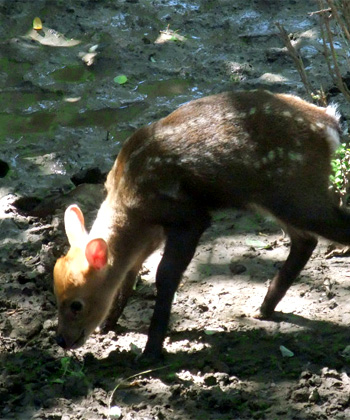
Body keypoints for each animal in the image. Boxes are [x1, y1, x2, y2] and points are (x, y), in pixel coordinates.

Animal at [53, 90, 346, 360]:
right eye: (56, 296)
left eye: (76, 304)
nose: (62, 340)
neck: (131, 204)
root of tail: (329, 124)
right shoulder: (152, 235)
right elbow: (130, 274)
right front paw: (109, 325)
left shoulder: (189, 217)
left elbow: (164, 275)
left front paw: (151, 351)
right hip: (278, 198)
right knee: (305, 240)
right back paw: (264, 308)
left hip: (296, 191)